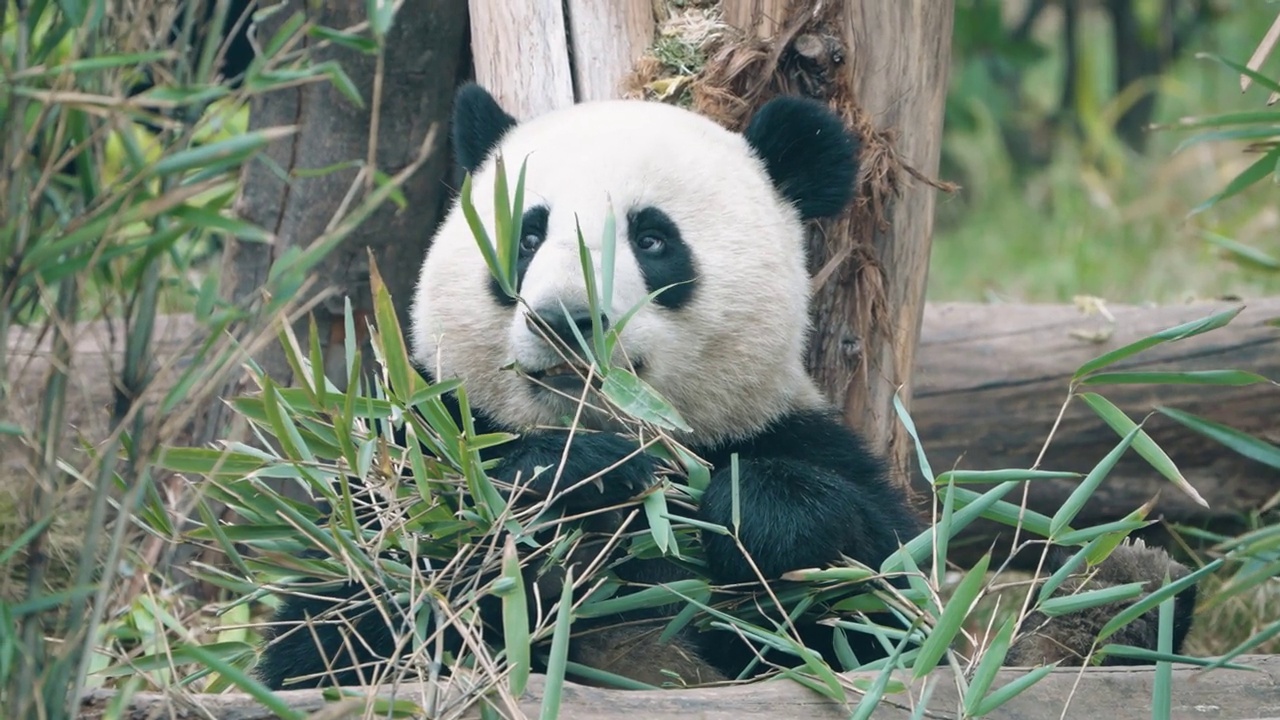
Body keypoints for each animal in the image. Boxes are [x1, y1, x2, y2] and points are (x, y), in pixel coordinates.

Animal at [252, 81, 1198, 686]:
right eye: (528, 234)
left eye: (653, 239)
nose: (565, 319)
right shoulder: (412, 448)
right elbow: (343, 624)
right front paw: (568, 482)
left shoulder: (797, 433)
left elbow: (885, 613)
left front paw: (751, 511)